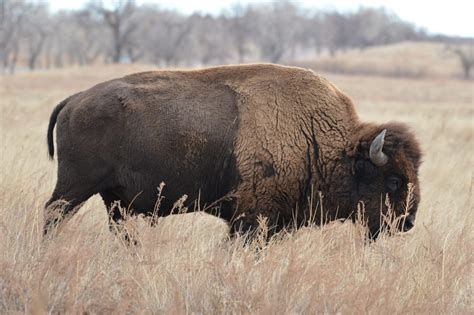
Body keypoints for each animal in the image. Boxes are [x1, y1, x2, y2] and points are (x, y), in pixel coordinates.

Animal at [44, 64, 422, 238]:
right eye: (393, 181)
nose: (407, 222)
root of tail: (75, 100)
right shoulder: (251, 219)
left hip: (115, 200)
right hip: (75, 187)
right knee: (52, 215)